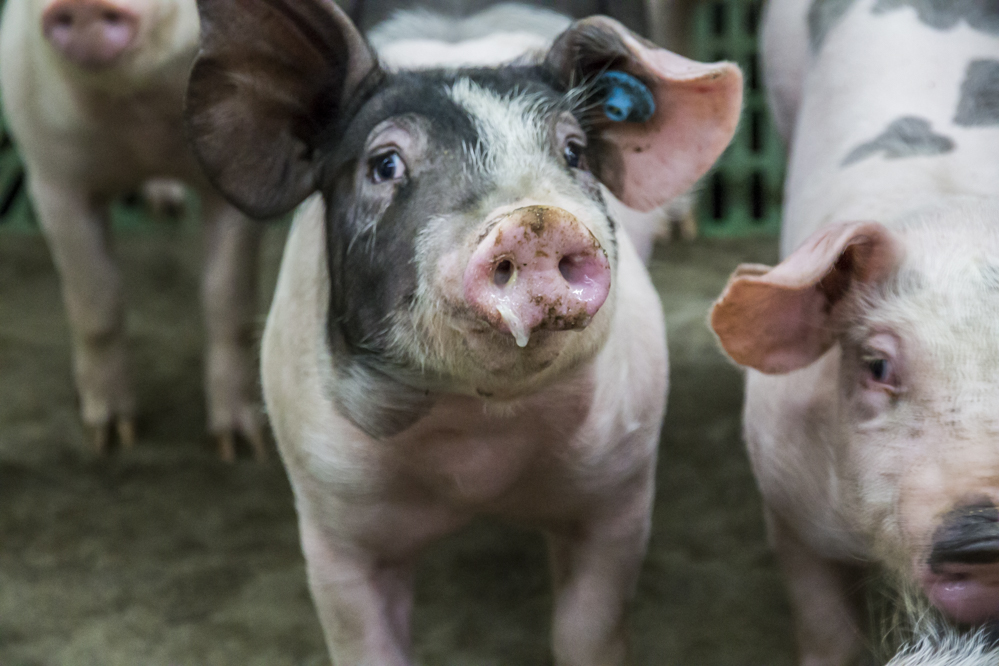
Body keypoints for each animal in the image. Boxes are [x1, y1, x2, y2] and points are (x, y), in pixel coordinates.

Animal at [0, 0, 270, 460]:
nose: (82, 5)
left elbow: (227, 301)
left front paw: (239, 447)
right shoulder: (52, 181)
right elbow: (96, 303)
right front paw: (111, 436)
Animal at [184, 0, 740, 660]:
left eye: (575, 153)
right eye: (384, 165)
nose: (535, 220)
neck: (478, 445)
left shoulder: (620, 489)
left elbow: (588, 633)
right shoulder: (332, 523)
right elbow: (363, 639)